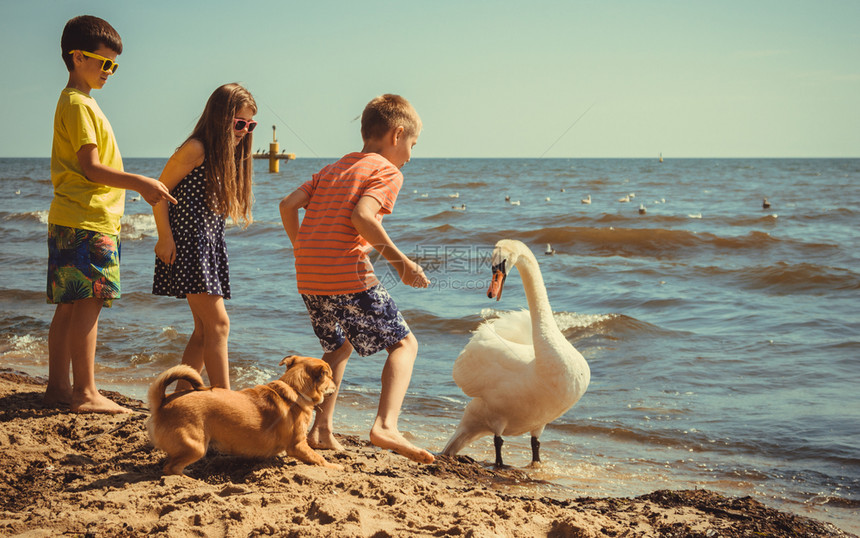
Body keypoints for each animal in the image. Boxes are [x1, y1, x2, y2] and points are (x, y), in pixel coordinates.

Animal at [146, 356, 338, 474]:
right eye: (330, 377)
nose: (336, 386)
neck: (295, 389)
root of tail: (162, 402)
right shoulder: (298, 445)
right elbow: (319, 458)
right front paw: (334, 466)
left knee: (171, 464)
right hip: (196, 447)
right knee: (170, 469)